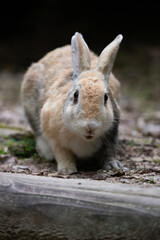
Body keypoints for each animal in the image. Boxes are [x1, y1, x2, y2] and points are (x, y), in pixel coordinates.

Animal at [21, 32, 124, 174]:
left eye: (106, 97)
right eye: (76, 95)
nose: (90, 126)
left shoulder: (112, 133)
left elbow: (109, 152)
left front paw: (113, 165)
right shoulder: (54, 137)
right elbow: (62, 153)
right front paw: (67, 169)